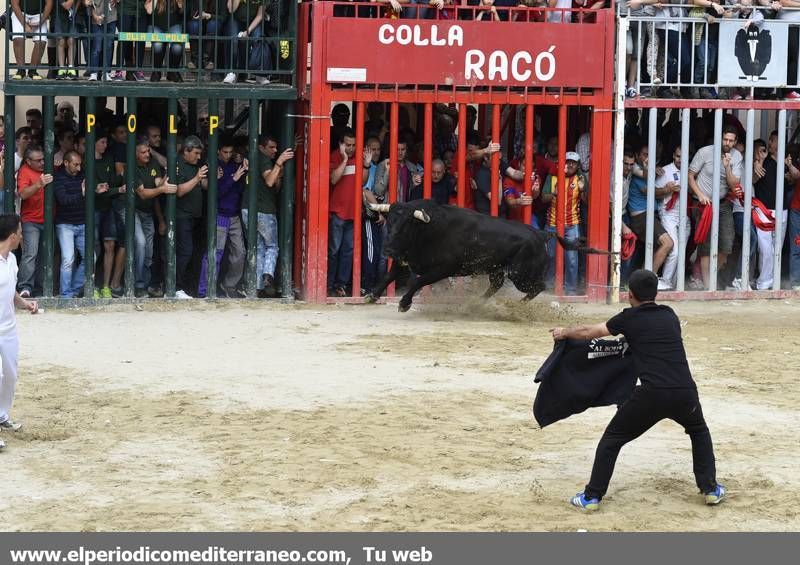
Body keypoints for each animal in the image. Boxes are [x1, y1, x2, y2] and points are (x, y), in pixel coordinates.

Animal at [362, 200, 612, 310]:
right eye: (389, 222)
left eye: (406, 225)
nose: (387, 250)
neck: (427, 229)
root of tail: (541, 233)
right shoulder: (406, 259)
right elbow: (388, 276)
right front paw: (371, 296)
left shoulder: (442, 268)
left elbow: (417, 281)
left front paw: (404, 303)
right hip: (498, 271)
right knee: (496, 285)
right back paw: (476, 303)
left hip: (521, 275)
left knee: (538, 287)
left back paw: (516, 306)